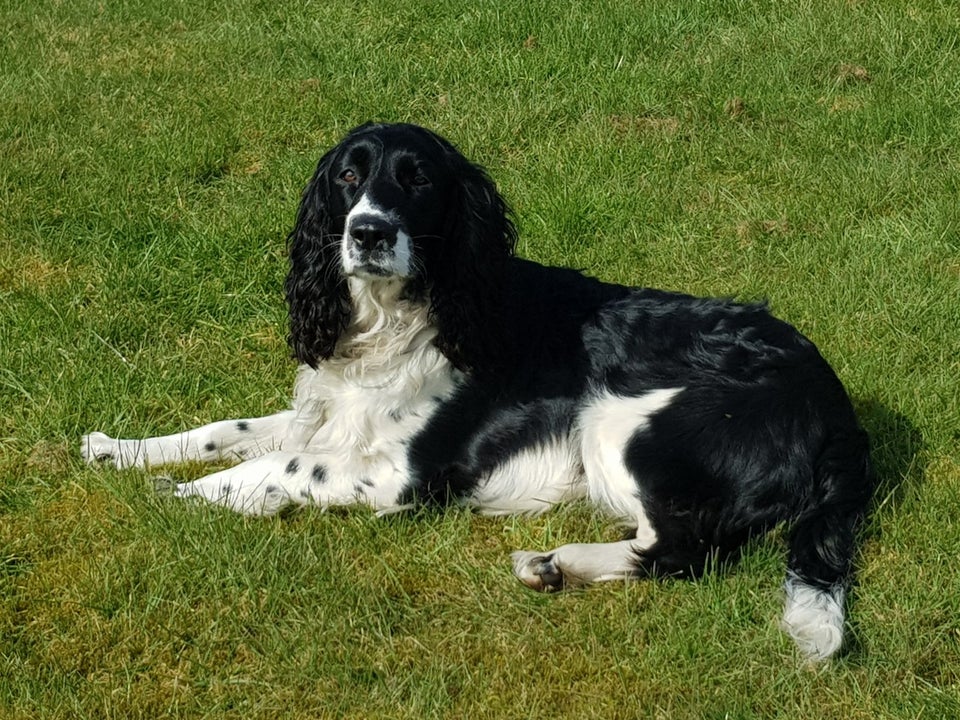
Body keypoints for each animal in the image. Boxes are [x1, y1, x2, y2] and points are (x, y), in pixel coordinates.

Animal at [86, 121, 872, 660]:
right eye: (348, 177)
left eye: (417, 180)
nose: (368, 232)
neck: (402, 315)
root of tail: (837, 408)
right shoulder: (329, 412)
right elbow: (231, 430)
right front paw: (119, 450)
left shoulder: (402, 474)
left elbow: (280, 462)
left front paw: (188, 496)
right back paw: (553, 563)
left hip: (620, 422)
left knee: (685, 549)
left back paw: (559, 563)